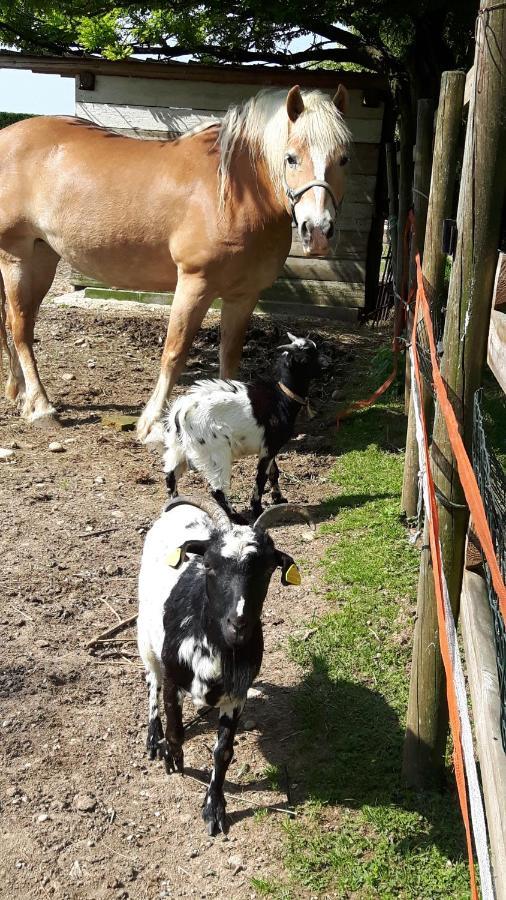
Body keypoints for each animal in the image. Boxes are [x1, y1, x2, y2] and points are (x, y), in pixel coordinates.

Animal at [0, 82, 350, 442]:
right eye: (291, 158)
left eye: (343, 158)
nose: (318, 231)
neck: (235, 194)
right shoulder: (194, 284)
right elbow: (175, 351)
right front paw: (152, 422)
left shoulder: (243, 295)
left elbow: (230, 354)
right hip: (16, 259)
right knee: (20, 328)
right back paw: (41, 407)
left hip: (43, 258)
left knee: (15, 323)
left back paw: (19, 391)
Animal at [136, 496, 306, 832]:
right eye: (209, 565)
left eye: (267, 569)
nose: (238, 624)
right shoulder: (174, 678)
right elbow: (175, 730)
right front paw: (172, 757)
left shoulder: (236, 695)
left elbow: (223, 752)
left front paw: (214, 808)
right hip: (145, 633)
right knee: (151, 680)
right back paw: (152, 737)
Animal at [164, 334, 326, 520]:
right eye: (307, 356)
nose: (327, 364)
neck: (282, 398)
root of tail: (180, 413)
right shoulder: (269, 447)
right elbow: (261, 477)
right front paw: (257, 508)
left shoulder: (270, 446)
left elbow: (274, 473)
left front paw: (279, 499)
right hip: (215, 452)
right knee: (217, 489)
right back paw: (237, 517)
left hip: (178, 449)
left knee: (170, 477)